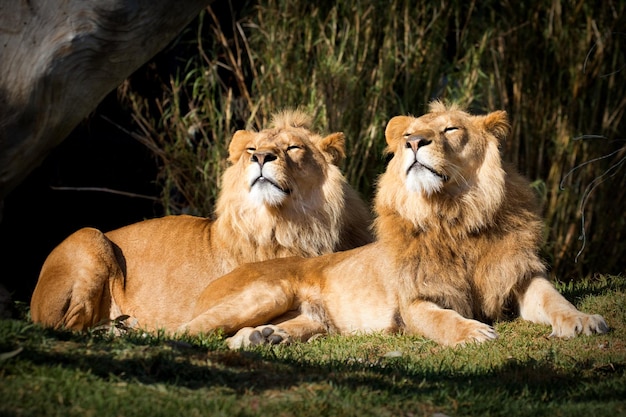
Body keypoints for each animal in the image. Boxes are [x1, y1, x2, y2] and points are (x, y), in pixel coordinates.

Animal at [30, 109, 370, 332]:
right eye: (252, 149)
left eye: (293, 147)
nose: (261, 157)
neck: (290, 224)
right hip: (89, 237)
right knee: (68, 325)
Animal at [179, 101, 604, 348]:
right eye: (407, 135)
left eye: (450, 129)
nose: (414, 143)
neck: (453, 215)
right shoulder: (412, 301)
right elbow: (441, 318)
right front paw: (472, 332)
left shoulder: (520, 276)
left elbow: (556, 300)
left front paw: (583, 321)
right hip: (267, 293)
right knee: (184, 329)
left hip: (311, 320)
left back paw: (265, 337)